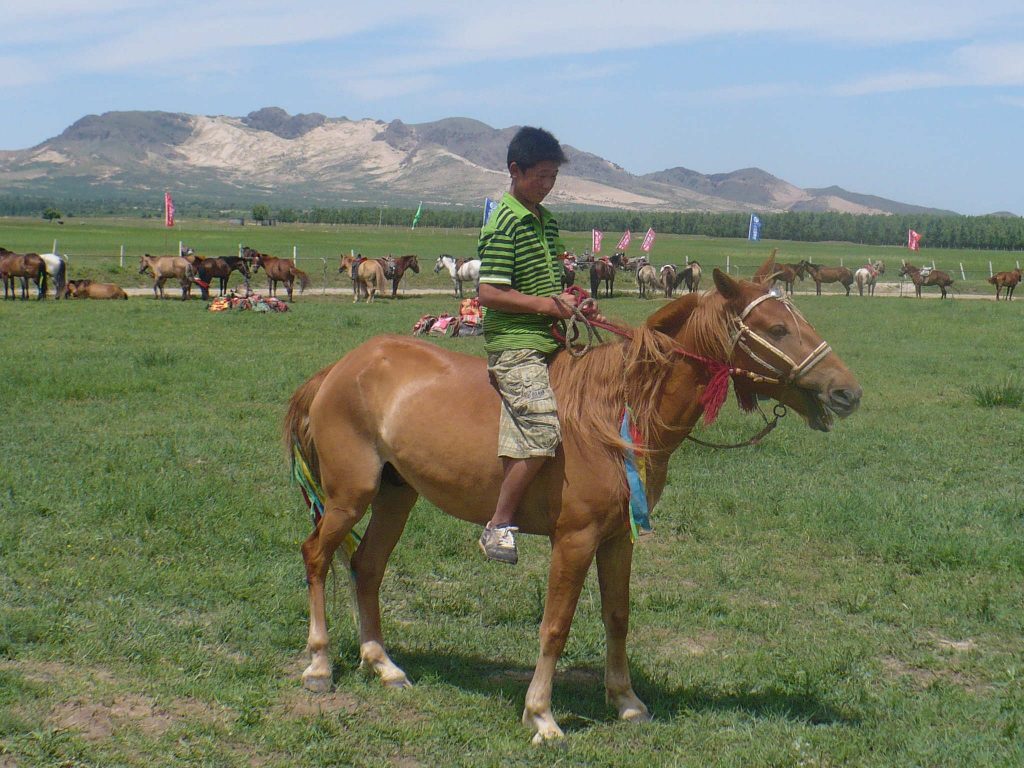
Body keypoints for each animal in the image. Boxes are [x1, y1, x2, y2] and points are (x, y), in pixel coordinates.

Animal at [284, 252, 860, 745]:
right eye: (777, 329)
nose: (847, 392)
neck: (616, 413)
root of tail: (339, 369)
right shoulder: (575, 540)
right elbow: (555, 625)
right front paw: (541, 714)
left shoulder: (618, 538)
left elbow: (617, 615)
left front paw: (626, 700)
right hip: (350, 497)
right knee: (316, 556)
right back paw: (319, 664)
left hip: (395, 497)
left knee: (367, 566)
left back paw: (382, 664)